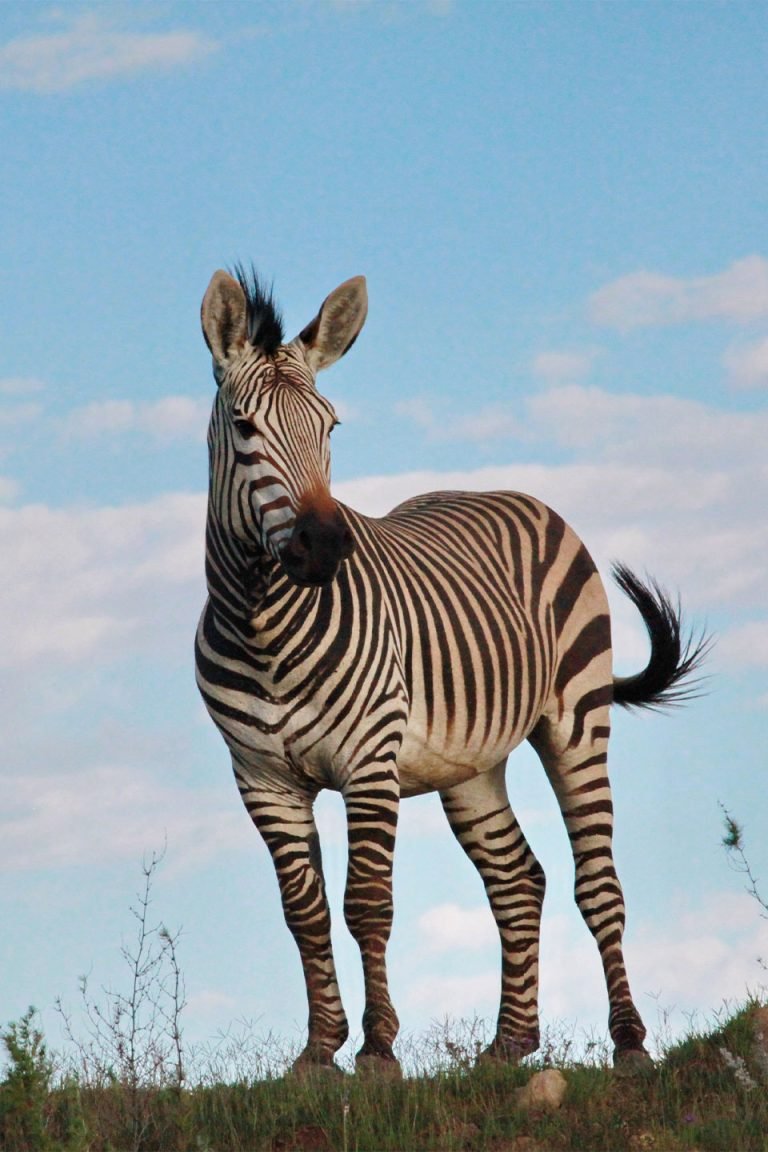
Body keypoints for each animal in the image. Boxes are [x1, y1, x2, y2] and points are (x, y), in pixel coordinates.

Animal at [196, 265, 707, 1076]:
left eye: (330, 428)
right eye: (245, 429)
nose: (325, 546)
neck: (262, 623)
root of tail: (506, 492)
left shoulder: (368, 762)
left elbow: (367, 903)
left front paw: (377, 1052)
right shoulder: (262, 779)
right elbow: (304, 912)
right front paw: (318, 1053)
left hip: (576, 719)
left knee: (597, 883)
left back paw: (628, 1043)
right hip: (470, 766)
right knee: (518, 879)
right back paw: (509, 1045)